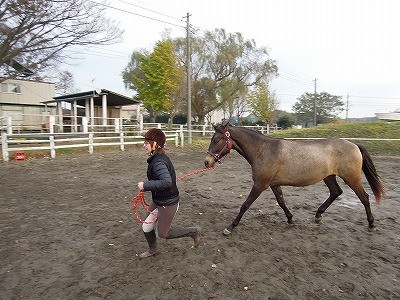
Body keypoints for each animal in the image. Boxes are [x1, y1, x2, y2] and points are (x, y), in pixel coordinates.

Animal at [205, 122, 386, 234]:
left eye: (217, 140)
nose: (206, 162)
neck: (264, 150)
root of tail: (354, 145)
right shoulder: (273, 184)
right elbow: (281, 201)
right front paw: (290, 219)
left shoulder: (260, 184)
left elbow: (245, 205)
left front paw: (230, 226)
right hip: (329, 177)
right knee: (336, 192)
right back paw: (318, 215)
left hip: (352, 178)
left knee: (364, 197)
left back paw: (371, 223)